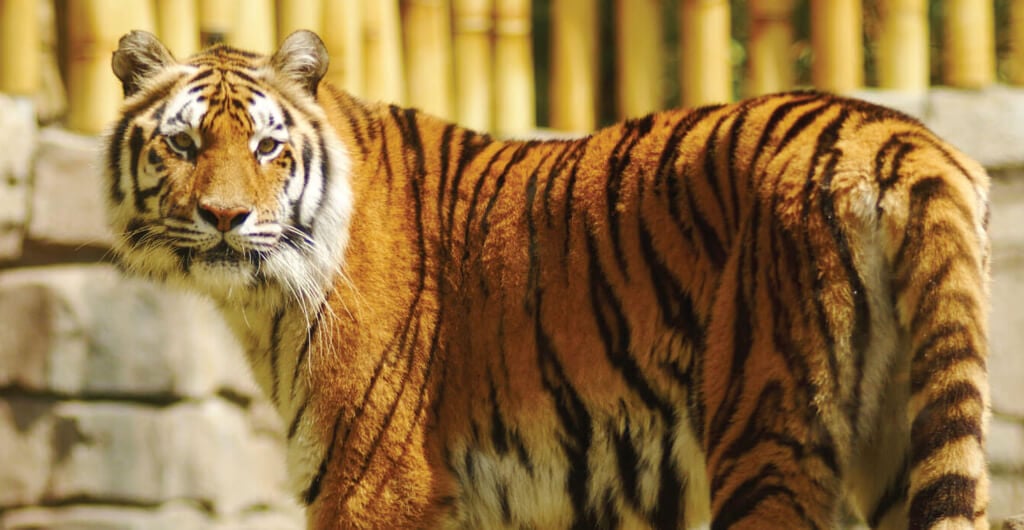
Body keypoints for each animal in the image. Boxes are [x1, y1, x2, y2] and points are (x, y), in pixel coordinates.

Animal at [103, 29, 992, 530]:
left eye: (267, 147)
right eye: (182, 145)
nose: (225, 217)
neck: (263, 302)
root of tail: (897, 134)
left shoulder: (372, 484)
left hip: (767, 433)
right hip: (910, 432)